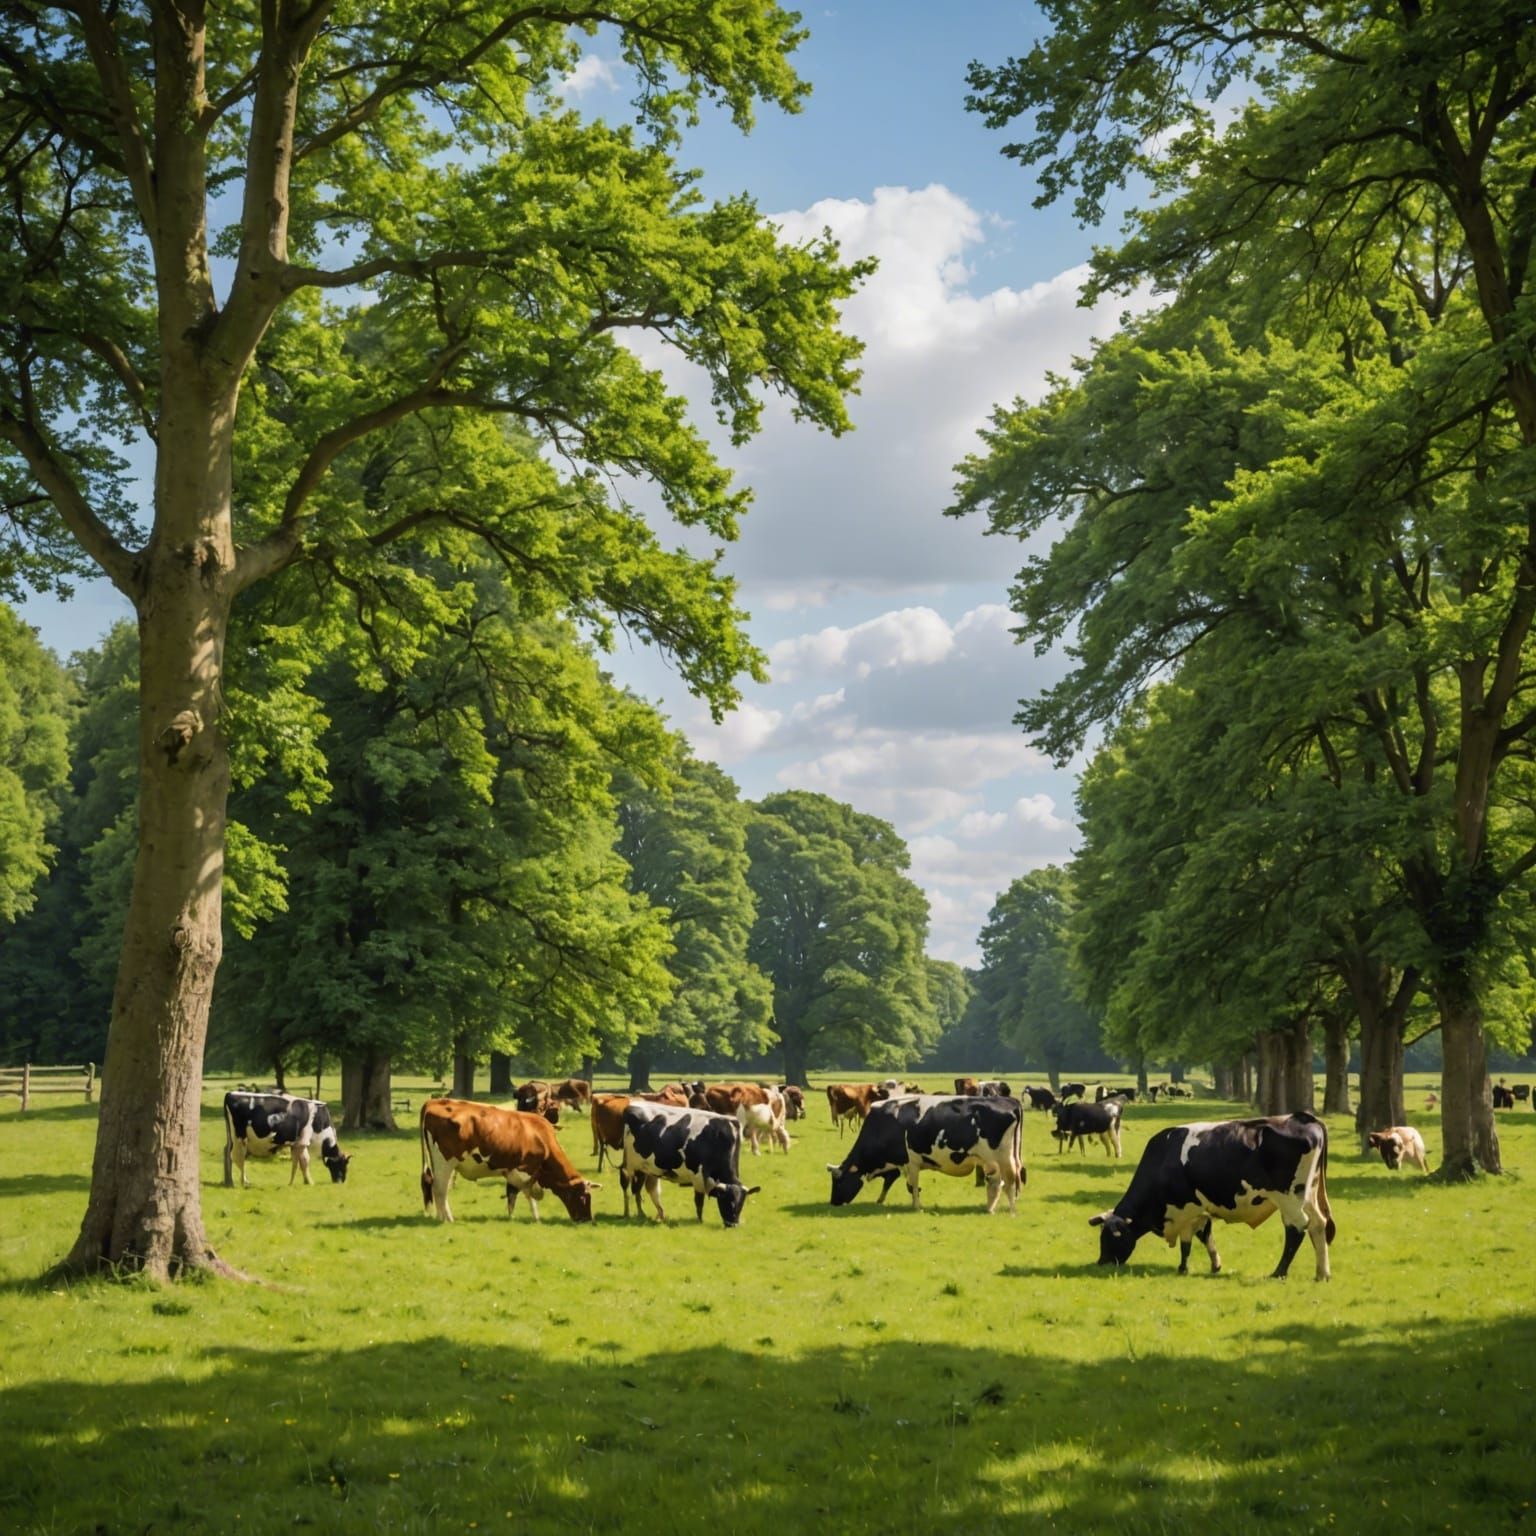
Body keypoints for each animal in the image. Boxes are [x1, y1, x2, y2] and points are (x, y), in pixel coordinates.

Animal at [222, 1091, 350, 1188]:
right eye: (342, 1164)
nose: (341, 1182)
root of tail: (230, 1093)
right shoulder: (303, 1141)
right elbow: (304, 1161)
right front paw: (308, 1182)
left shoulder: (297, 1143)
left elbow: (297, 1162)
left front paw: (299, 1182)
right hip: (240, 1138)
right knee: (237, 1158)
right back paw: (244, 1182)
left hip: (232, 1138)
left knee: (227, 1153)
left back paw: (229, 1182)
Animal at [419, 1098, 599, 1222]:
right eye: (583, 1197)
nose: (588, 1220)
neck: (541, 1138)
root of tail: (434, 1101)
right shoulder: (524, 1170)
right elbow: (527, 1194)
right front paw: (536, 1218)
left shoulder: (511, 1170)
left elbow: (513, 1195)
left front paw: (512, 1217)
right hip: (445, 1162)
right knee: (439, 1188)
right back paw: (446, 1219)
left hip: (445, 1165)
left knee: (439, 1189)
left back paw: (441, 1216)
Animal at [619, 1101, 760, 1226]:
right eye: (727, 1201)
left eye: (741, 1204)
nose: (733, 1225)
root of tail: (633, 1105)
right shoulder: (698, 1178)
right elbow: (699, 1202)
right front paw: (699, 1221)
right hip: (631, 1166)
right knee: (630, 1188)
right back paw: (631, 1213)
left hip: (645, 1168)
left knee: (642, 1190)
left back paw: (649, 1214)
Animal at [826, 1094, 1024, 1214]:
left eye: (838, 1181)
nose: (833, 1203)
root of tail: (1009, 1101)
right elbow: (897, 1184)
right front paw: (881, 1200)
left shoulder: (910, 1162)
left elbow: (912, 1185)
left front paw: (916, 1206)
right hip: (992, 1161)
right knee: (996, 1184)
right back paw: (989, 1209)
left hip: (1004, 1159)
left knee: (1010, 1183)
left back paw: (1011, 1211)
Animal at [1089, 1112, 1335, 1280]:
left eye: (1111, 1237)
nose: (1101, 1263)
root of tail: (1302, 1117)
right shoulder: (1201, 1209)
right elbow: (1206, 1236)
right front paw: (1215, 1265)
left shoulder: (1186, 1210)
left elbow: (1187, 1242)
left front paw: (1183, 1268)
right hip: (1308, 1194)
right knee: (1318, 1224)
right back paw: (1322, 1273)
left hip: (1289, 1200)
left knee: (1296, 1228)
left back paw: (1279, 1272)